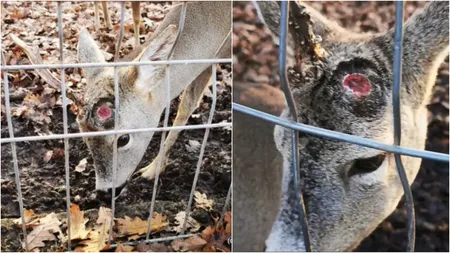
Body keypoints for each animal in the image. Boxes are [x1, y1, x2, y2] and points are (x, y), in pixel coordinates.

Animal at [77, 1, 230, 199]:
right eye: (84, 137)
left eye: (123, 139)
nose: (105, 192)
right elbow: (188, 104)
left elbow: (188, 104)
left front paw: (152, 170)